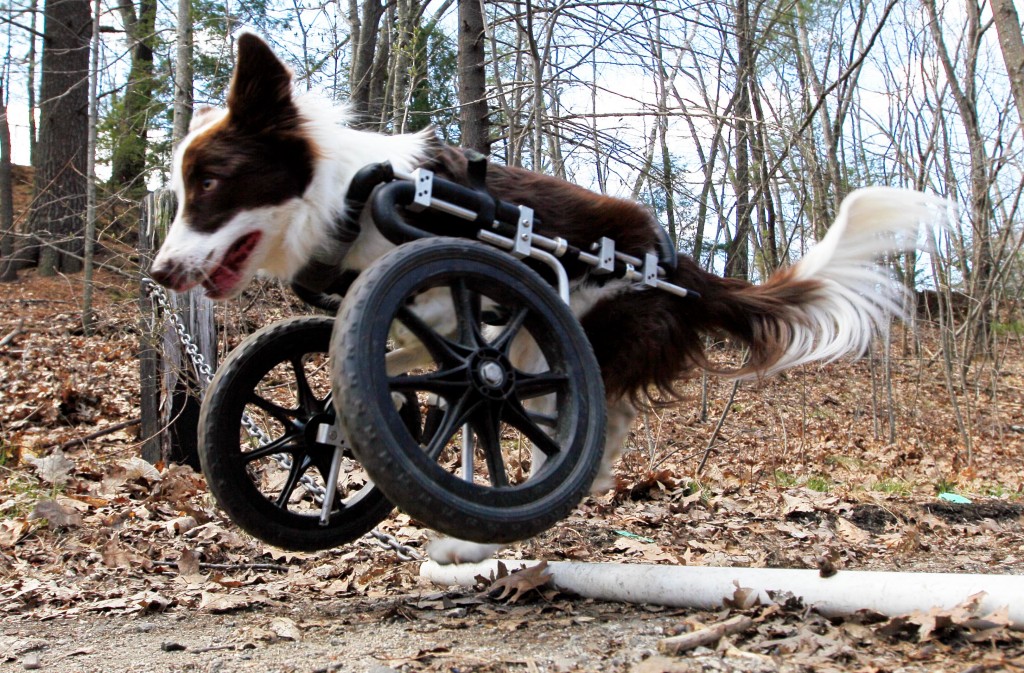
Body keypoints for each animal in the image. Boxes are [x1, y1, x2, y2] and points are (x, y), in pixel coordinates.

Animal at [149, 35, 942, 561]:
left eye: (213, 182)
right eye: (184, 191)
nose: (160, 273)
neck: (350, 195)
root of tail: (680, 262)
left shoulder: (465, 305)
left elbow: (448, 381)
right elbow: (378, 382)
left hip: (568, 325)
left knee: (575, 418)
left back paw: (511, 516)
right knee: (594, 420)